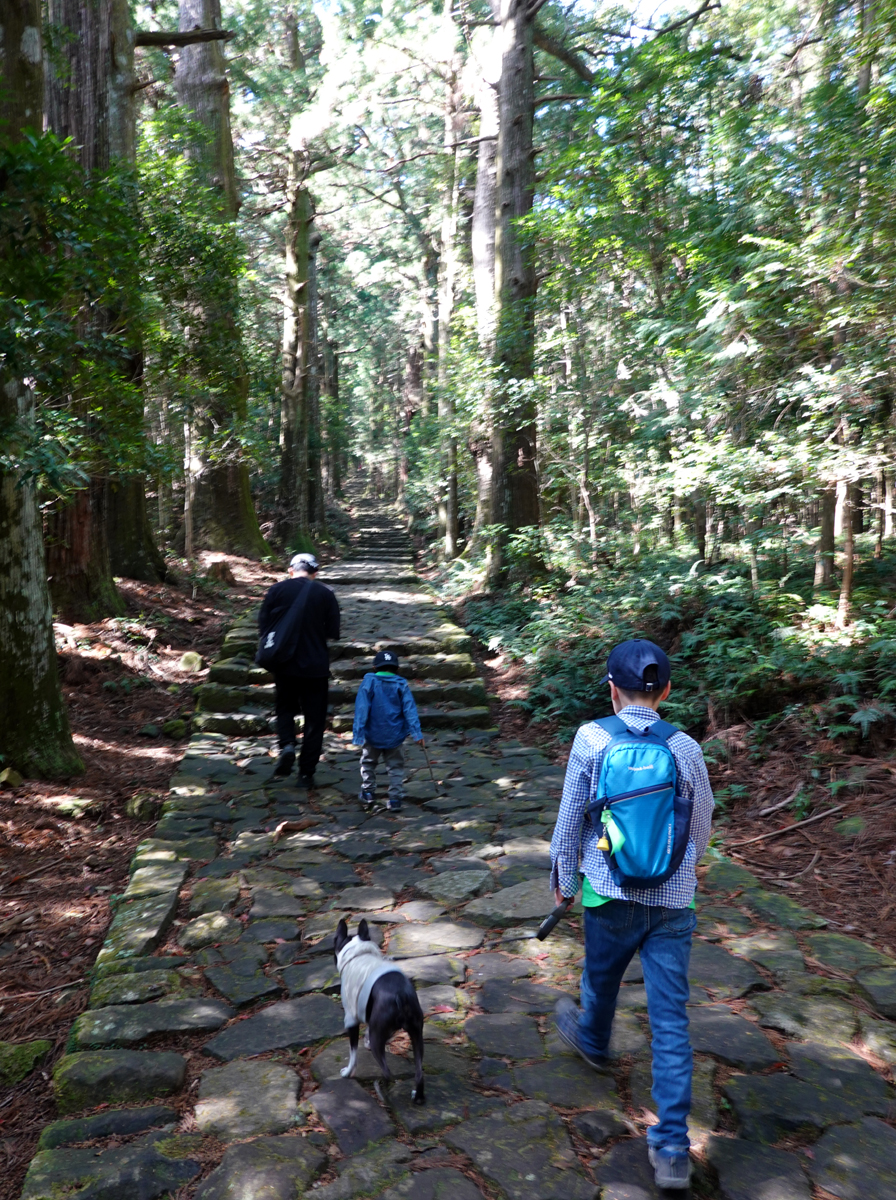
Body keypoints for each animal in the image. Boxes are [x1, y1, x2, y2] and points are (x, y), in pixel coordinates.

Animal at [333, 916, 427, 1104]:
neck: (358, 953)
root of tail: (401, 994)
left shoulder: (351, 1018)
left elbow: (353, 1053)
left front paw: (347, 1072)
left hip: (380, 1037)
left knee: (387, 1071)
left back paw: (382, 1091)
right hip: (416, 1034)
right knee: (419, 1073)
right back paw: (417, 1095)